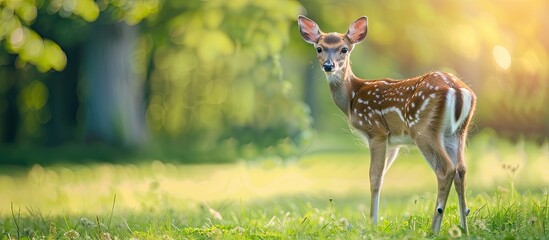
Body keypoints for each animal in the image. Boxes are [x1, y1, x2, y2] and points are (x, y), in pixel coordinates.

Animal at [298, 15, 474, 234]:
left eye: (344, 49)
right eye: (319, 48)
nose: (329, 66)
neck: (351, 98)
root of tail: (457, 90)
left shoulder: (376, 131)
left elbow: (374, 178)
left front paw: (372, 225)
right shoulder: (394, 143)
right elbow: (382, 177)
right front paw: (373, 222)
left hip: (423, 130)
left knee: (446, 170)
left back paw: (434, 229)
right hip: (457, 133)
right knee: (461, 170)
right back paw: (465, 228)